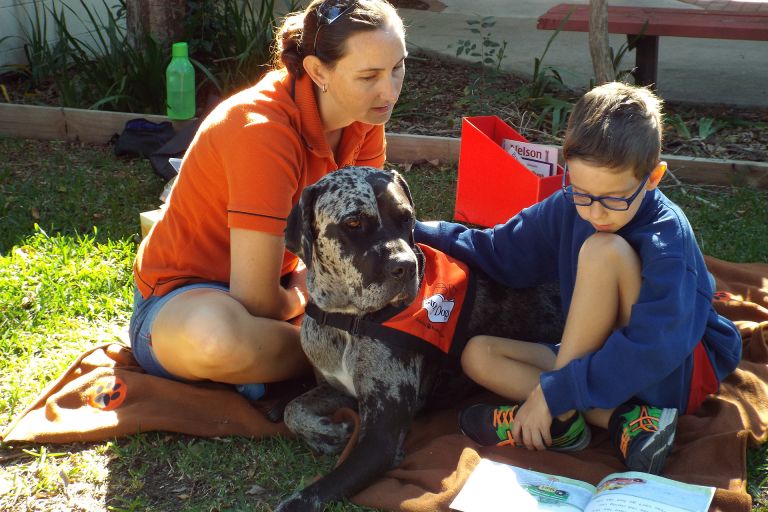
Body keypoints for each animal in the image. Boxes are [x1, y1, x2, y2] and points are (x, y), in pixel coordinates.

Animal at [276, 166, 564, 510]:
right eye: (354, 223)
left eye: (407, 218)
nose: (404, 266)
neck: (348, 321)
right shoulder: (342, 388)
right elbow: (292, 408)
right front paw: (326, 433)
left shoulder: (381, 439)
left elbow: (316, 491)